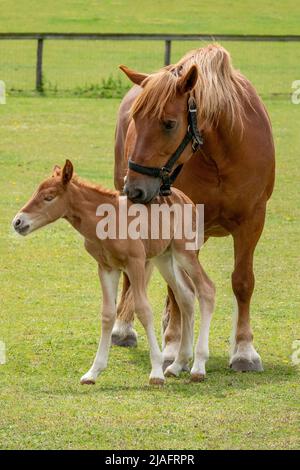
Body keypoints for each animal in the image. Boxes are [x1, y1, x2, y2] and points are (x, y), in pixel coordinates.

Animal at [12, 162, 214, 386]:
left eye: (49, 197)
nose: (17, 222)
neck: (106, 221)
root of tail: (187, 199)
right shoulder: (106, 268)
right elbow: (108, 314)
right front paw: (93, 372)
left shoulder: (136, 263)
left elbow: (143, 310)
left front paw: (155, 372)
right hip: (164, 258)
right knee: (186, 296)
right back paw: (178, 364)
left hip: (185, 252)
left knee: (206, 290)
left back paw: (198, 367)